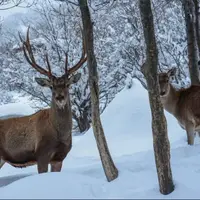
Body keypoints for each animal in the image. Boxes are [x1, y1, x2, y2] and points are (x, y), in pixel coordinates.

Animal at [0, 27, 86, 173]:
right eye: (51, 87)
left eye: (67, 85)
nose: (59, 97)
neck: (60, 135)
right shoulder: (42, 153)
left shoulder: (59, 158)